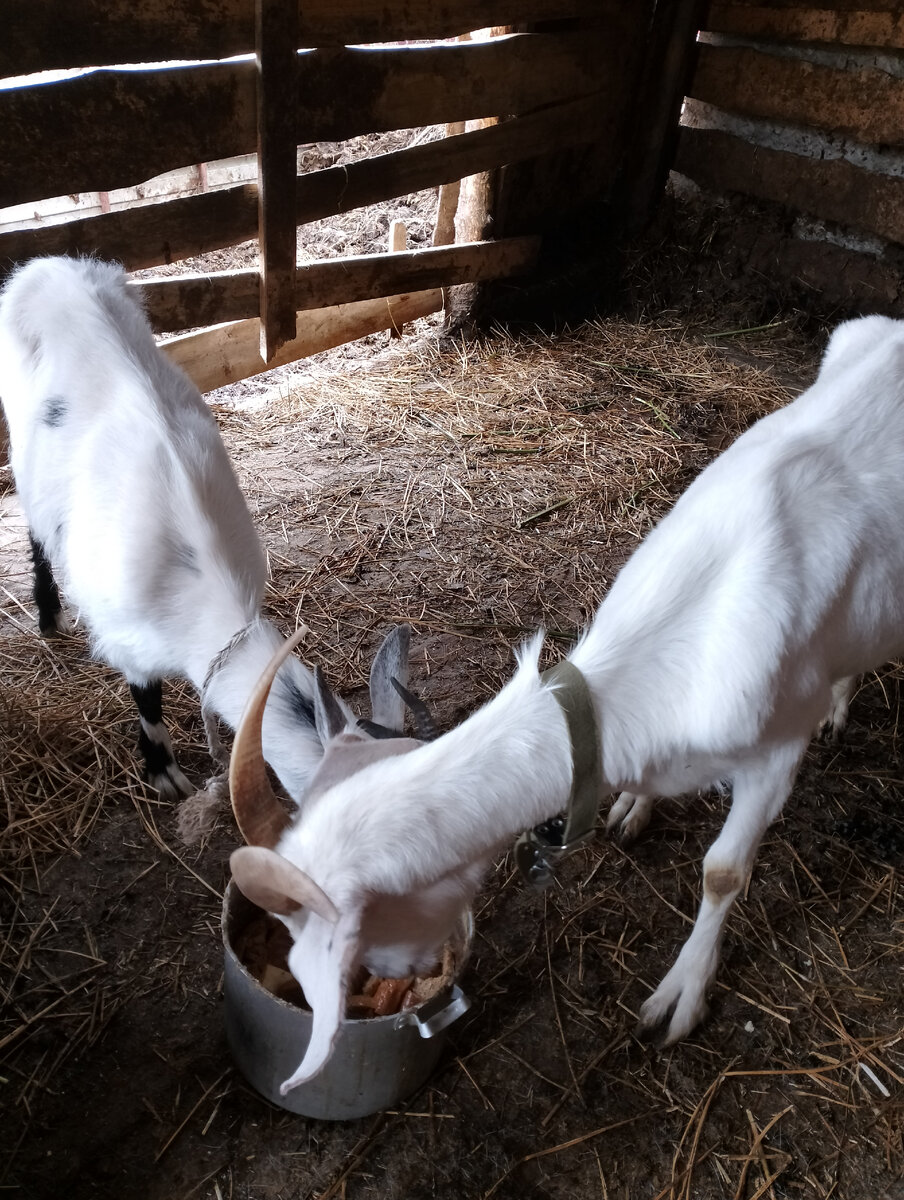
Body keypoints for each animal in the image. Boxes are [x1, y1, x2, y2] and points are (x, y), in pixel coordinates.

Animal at [0, 259, 412, 811]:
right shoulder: (128, 640)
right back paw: (49, 614)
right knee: (37, 526)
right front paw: (162, 770)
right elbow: (147, 698)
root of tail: (44, 265)